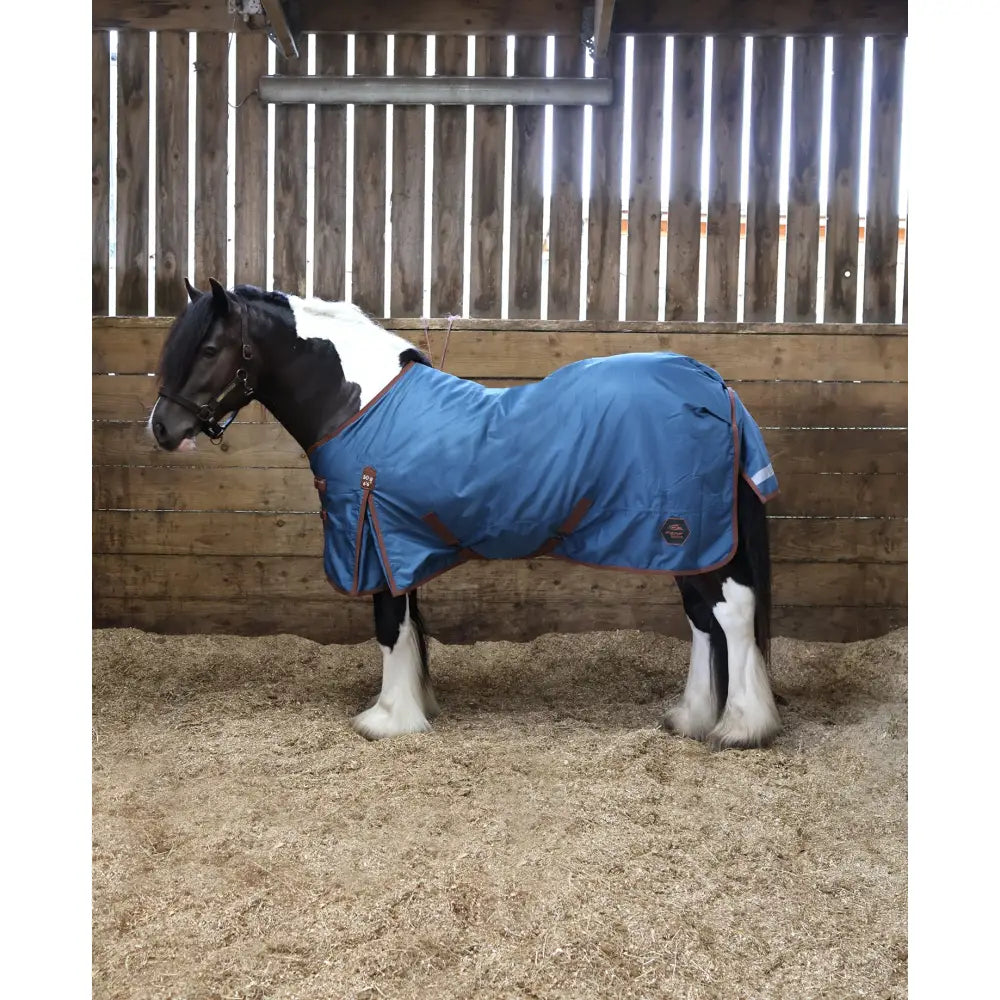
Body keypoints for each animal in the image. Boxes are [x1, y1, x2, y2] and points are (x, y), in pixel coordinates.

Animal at [149, 278, 783, 749]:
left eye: (208, 349)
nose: (162, 429)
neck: (359, 405)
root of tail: (714, 386)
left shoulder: (375, 535)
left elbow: (389, 626)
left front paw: (387, 718)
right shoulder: (394, 541)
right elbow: (408, 625)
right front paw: (414, 705)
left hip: (694, 536)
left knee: (731, 613)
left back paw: (740, 728)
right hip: (686, 542)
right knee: (702, 619)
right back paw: (691, 718)